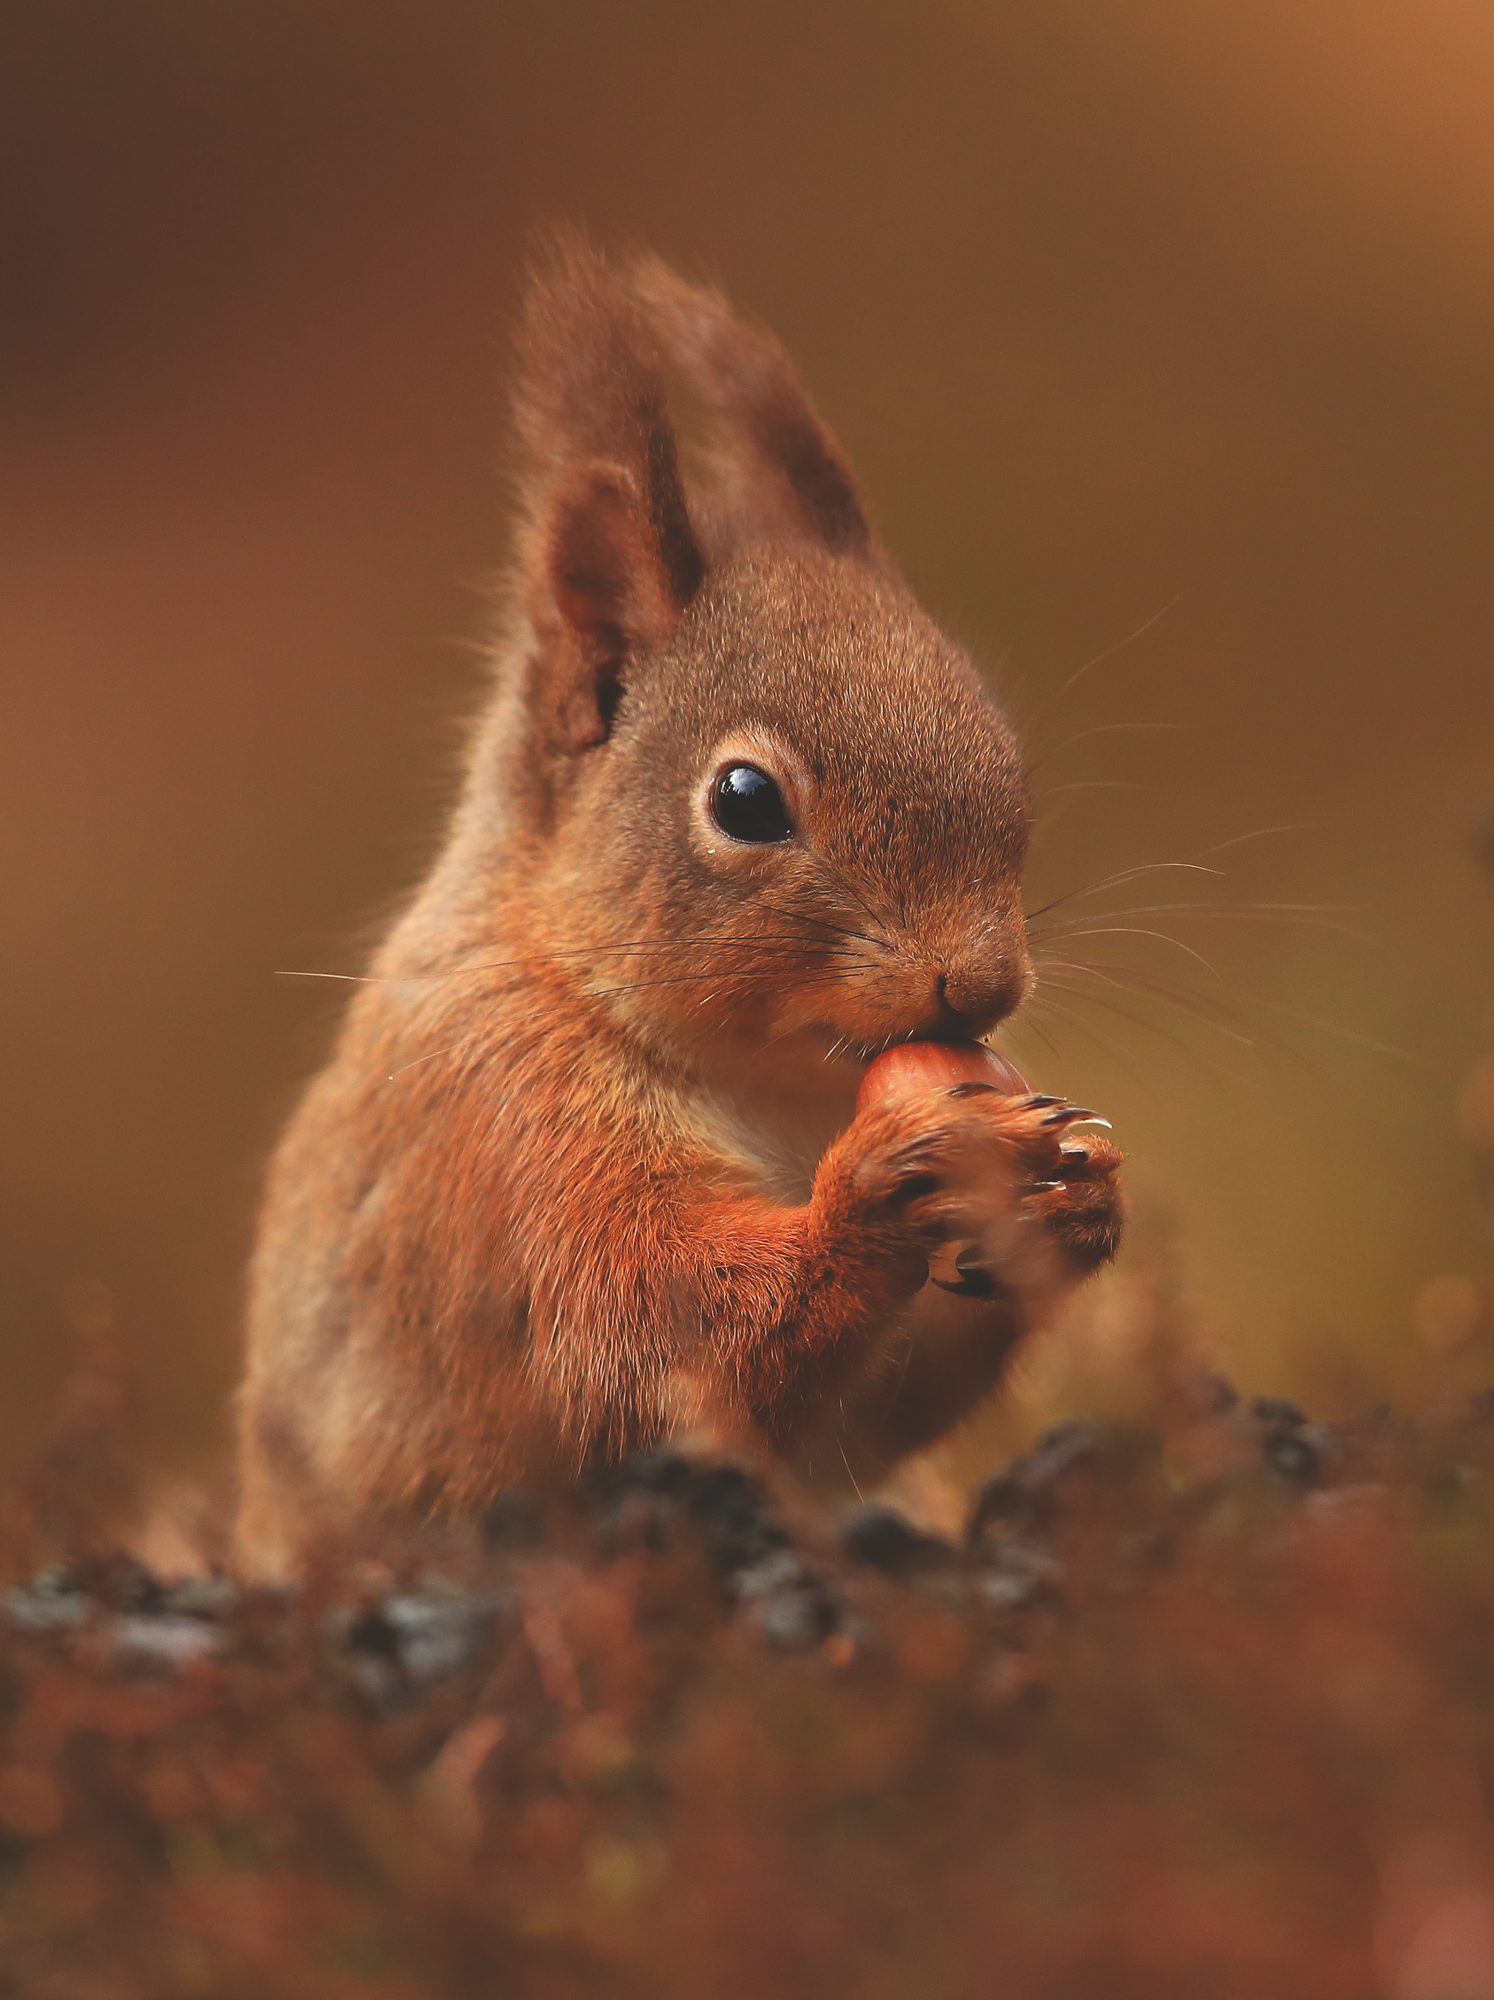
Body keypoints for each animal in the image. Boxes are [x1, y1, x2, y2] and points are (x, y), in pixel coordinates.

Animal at [235, 236, 1124, 1574]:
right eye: (745, 799)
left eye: (999, 739)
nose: (981, 985)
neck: (774, 1081)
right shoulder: (515, 1136)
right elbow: (659, 1344)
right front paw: (882, 1188)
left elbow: (869, 1416)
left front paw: (1080, 1202)